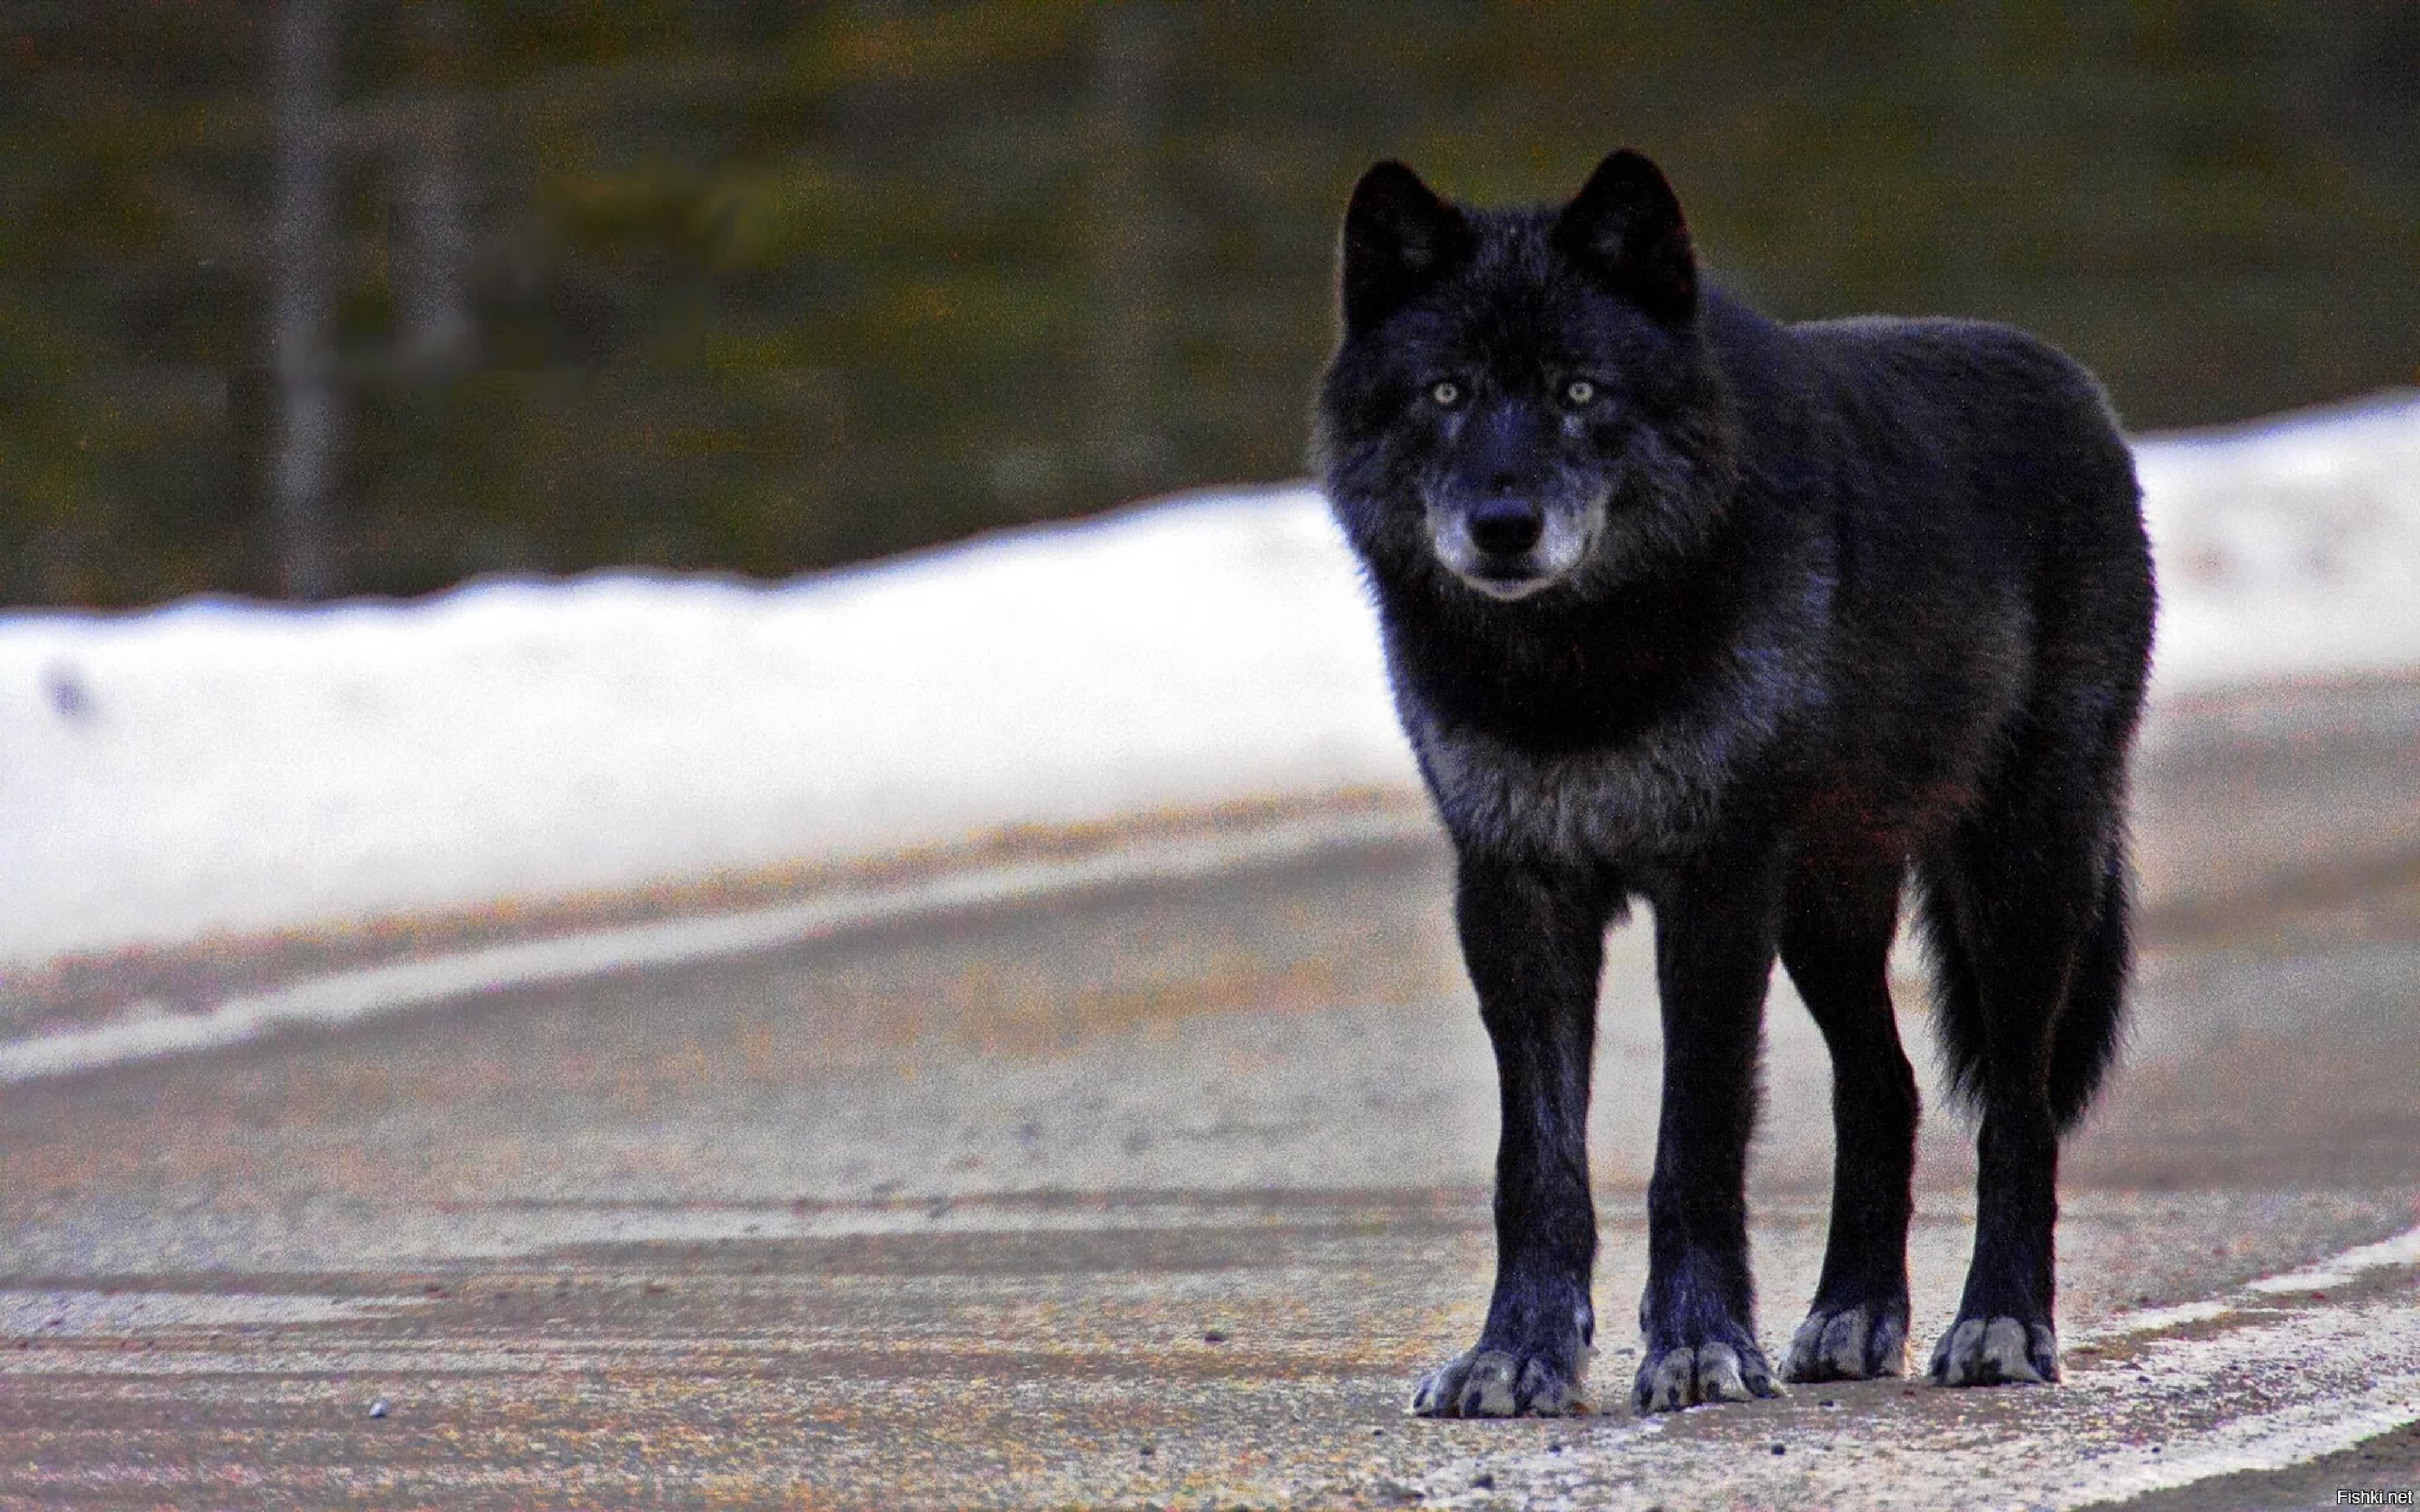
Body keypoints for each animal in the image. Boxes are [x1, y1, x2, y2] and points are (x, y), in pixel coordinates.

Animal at [1316, 147, 2168, 1413]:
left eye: (1581, 393)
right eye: (1447, 394)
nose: (1504, 524)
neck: (1574, 673)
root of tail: (2080, 389)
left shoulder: (1714, 887)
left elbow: (1697, 1141)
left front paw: (1699, 1345)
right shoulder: (1513, 894)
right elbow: (1537, 1165)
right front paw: (1517, 1353)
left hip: (2019, 878)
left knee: (2014, 1111)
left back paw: (2001, 1324)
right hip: (1825, 906)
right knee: (1887, 1087)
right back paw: (1855, 1315)